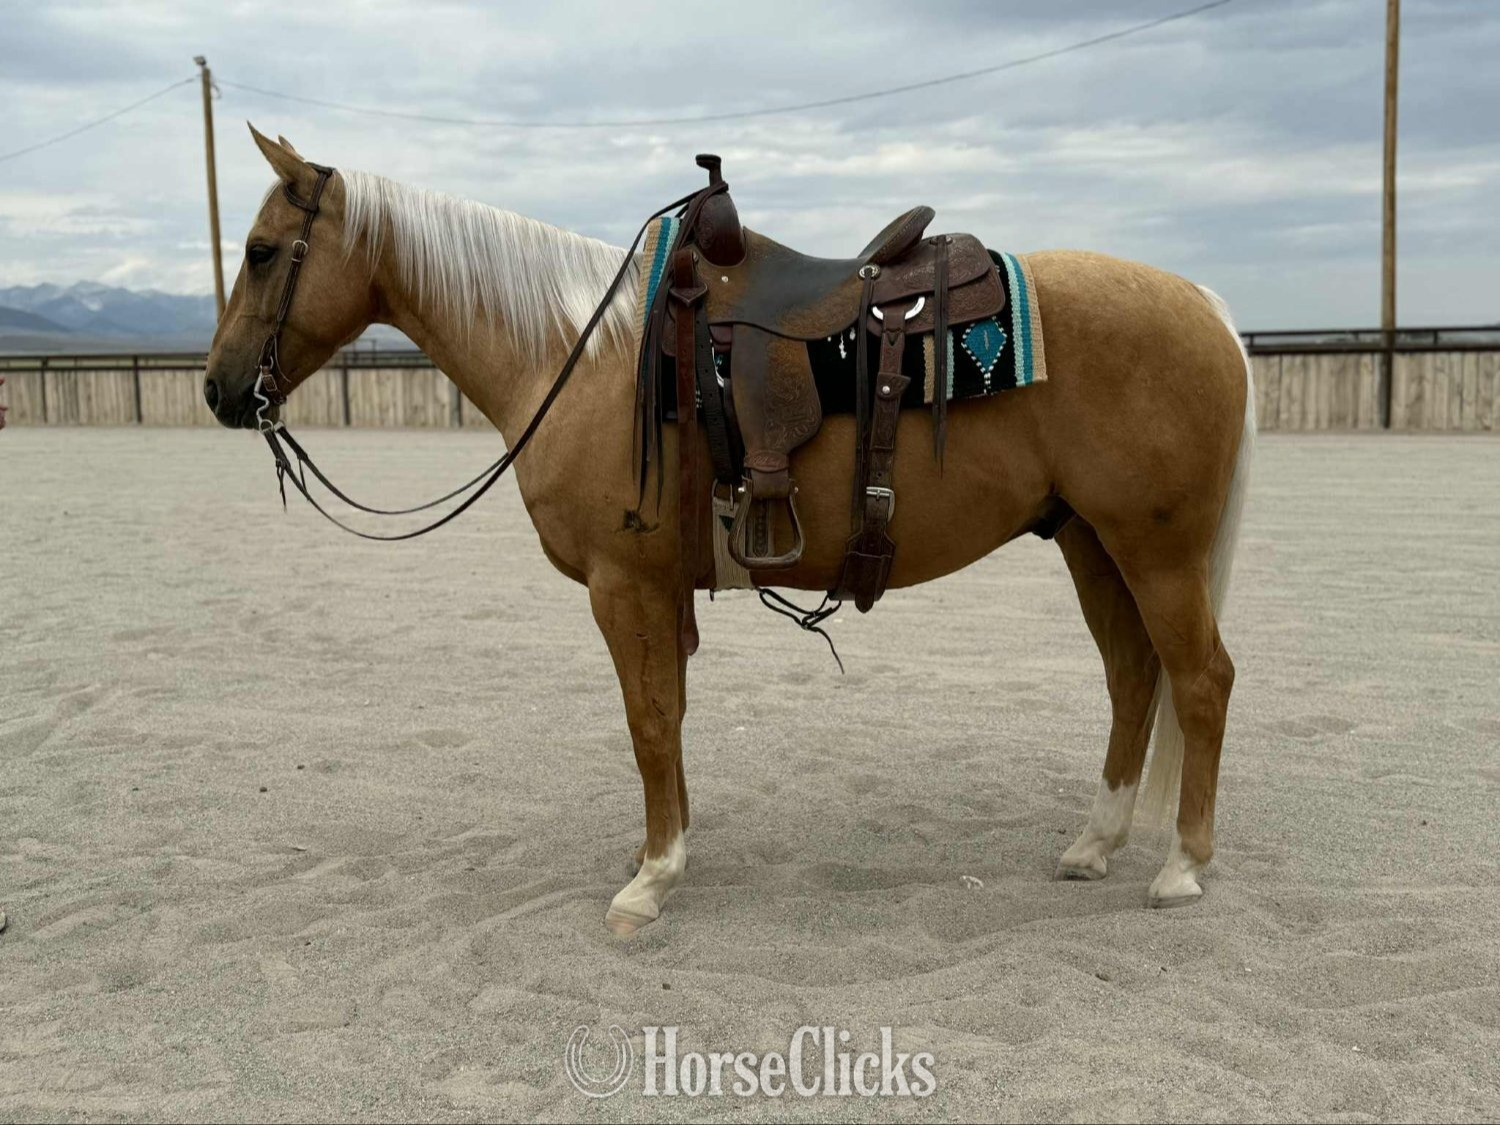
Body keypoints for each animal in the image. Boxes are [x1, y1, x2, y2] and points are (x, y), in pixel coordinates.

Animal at [205, 126, 1254, 936]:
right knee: (1134, 678)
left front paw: (651, 878)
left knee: (1201, 680)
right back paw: (1095, 843)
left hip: (1155, 550)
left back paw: (1181, 866)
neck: (578, 351)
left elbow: (647, 720)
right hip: (1092, 542)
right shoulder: (660, 585)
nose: (218, 390)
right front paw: (663, 850)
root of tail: (1208, 306)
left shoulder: (623, 582)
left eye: (259, 250)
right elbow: (667, 719)